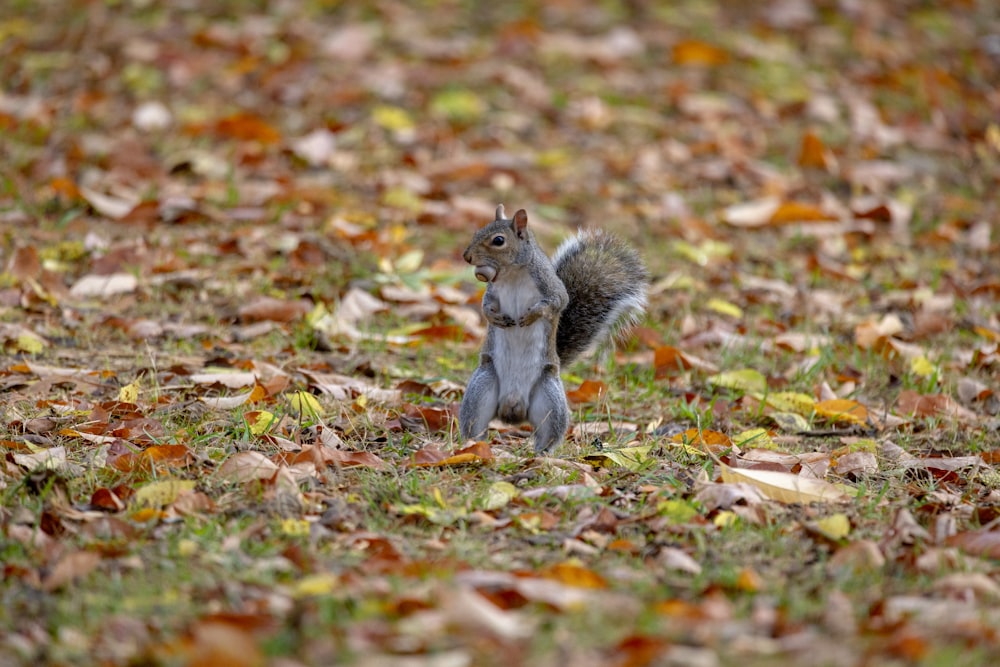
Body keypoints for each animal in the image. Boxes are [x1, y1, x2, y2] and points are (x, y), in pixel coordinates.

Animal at [458, 204, 648, 454]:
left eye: (498, 240)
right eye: (478, 231)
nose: (467, 256)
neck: (512, 274)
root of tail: (513, 410)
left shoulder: (551, 286)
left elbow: (558, 302)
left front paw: (531, 315)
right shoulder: (493, 291)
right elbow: (486, 305)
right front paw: (494, 317)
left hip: (549, 399)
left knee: (548, 435)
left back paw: (541, 455)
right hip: (482, 388)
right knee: (476, 424)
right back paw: (474, 445)